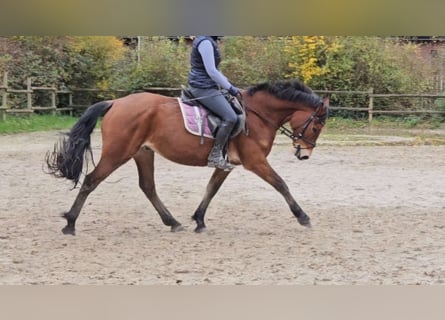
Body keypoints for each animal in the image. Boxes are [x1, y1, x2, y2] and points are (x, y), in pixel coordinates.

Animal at [46, 80, 326, 235]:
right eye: (316, 126)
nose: (305, 154)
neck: (258, 115)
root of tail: (115, 102)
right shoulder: (255, 161)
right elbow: (281, 184)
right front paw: (303, 217)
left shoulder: (226, 164)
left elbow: (211, 189)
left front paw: (199, 221)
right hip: (118, 152)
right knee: (91, 180)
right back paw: (70, 224)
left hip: (143, 153)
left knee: (147, 187)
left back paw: (173, 222)